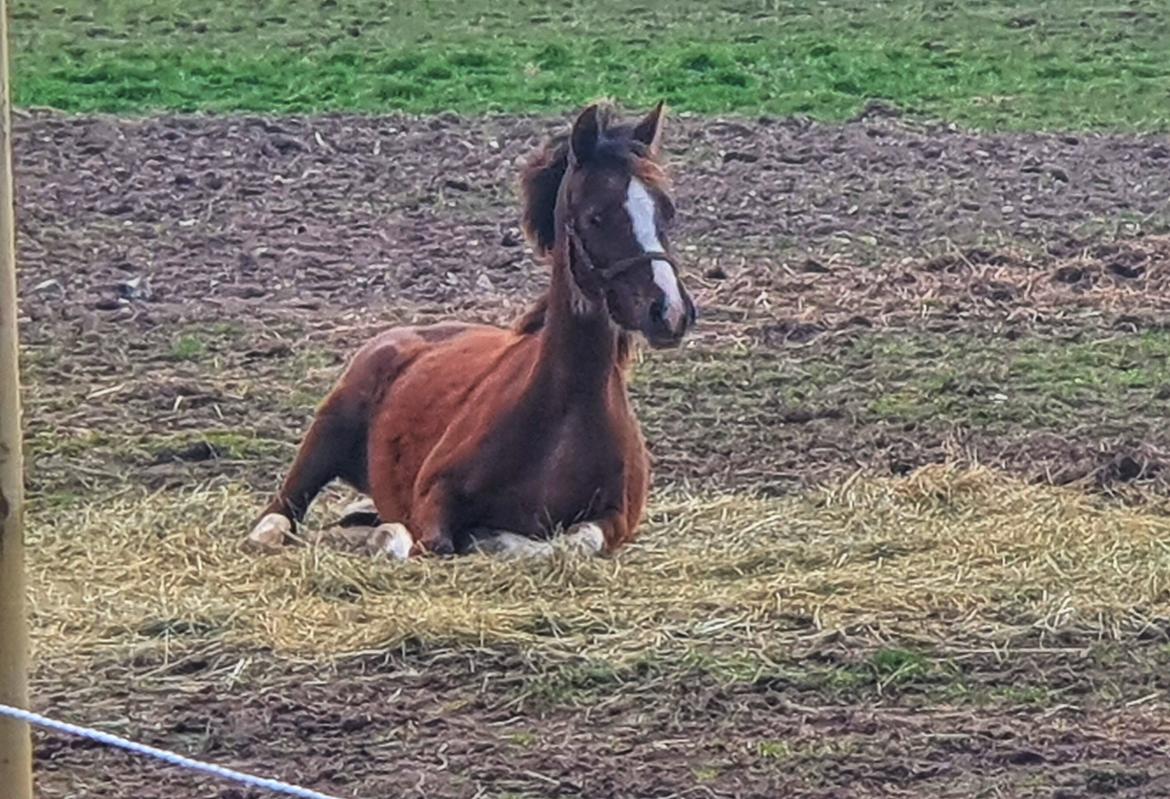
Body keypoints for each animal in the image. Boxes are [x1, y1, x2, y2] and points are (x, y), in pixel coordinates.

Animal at [246, 101, 696, 559]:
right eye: (595, 216)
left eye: (667, 210)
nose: (669, 312)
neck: (566, 413)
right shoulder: (432, 499)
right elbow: (429, 541)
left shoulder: (616, 518)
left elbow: (567, 544)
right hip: (327, 430)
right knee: (279, 515)